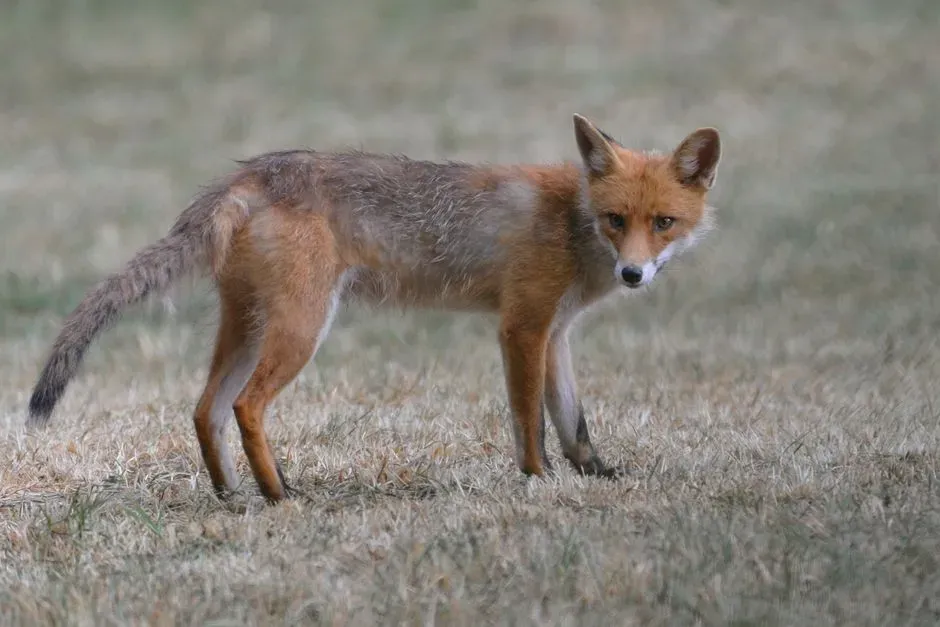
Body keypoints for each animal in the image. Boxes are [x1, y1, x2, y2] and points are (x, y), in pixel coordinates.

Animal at [26, 114, 721, 503]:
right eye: (616, 220)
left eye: (663, 222)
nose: (633, 274)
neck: (572, 223)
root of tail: (247, 175)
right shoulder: (521, 327)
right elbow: (530, 423)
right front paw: (537, 483)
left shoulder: (556, 333)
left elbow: (575, 424)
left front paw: (599, 477)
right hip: (302, 327)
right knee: (246, 406)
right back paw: (280, 495)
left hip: (247, 326)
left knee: (206, 409)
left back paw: (231, 495)